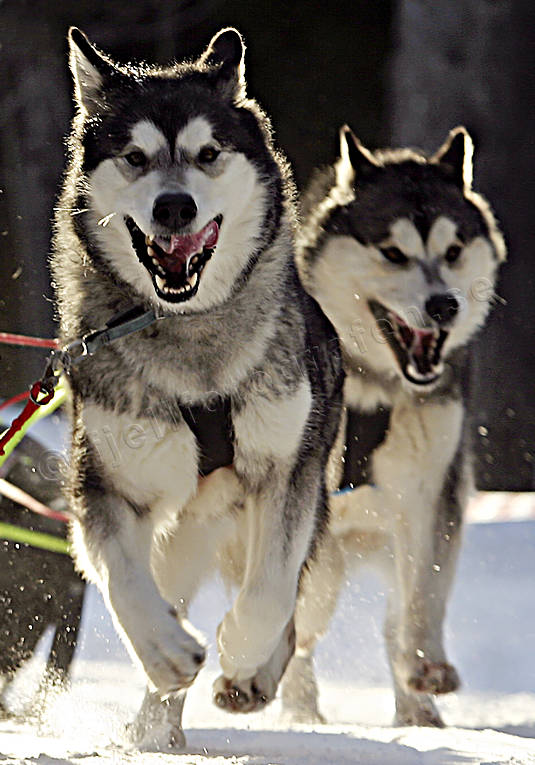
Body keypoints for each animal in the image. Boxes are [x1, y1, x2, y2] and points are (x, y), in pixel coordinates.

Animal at [51, 28, 344, 748]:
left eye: (208, 153)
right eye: (134, 156)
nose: (174, 205)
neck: (193, 340)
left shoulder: (287, 471)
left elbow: (269, 594)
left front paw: (240, 648)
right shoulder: (105, 484)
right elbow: (125, 582)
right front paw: (164, 651)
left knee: (287, 603)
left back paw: (251, 677)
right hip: (181, 524)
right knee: (167, 584)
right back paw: (155, 728)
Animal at [284, 127, 506, 728]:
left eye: (453, 251)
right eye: (392, 252)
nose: (444, 305)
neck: (374, 387)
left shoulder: (432, 490)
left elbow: (424, 593)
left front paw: (426, 666)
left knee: (390, 618)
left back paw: (416, 709)